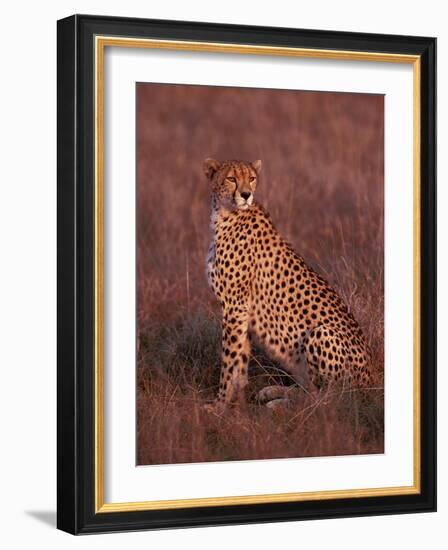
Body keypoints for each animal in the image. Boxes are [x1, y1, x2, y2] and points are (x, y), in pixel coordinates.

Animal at [204, 160, 372, 414]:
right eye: (232, 178)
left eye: (252, 178)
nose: (246, 194)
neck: (225, 214)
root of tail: (371, 379)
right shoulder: (242, 312)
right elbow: (240, 359)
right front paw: (238, 400)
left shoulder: (235, 307)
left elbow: (229, 360)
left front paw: (219, 405)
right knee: (312, 390)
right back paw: (274, 391)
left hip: (322, 333)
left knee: (329, 399)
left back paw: (279, 403)